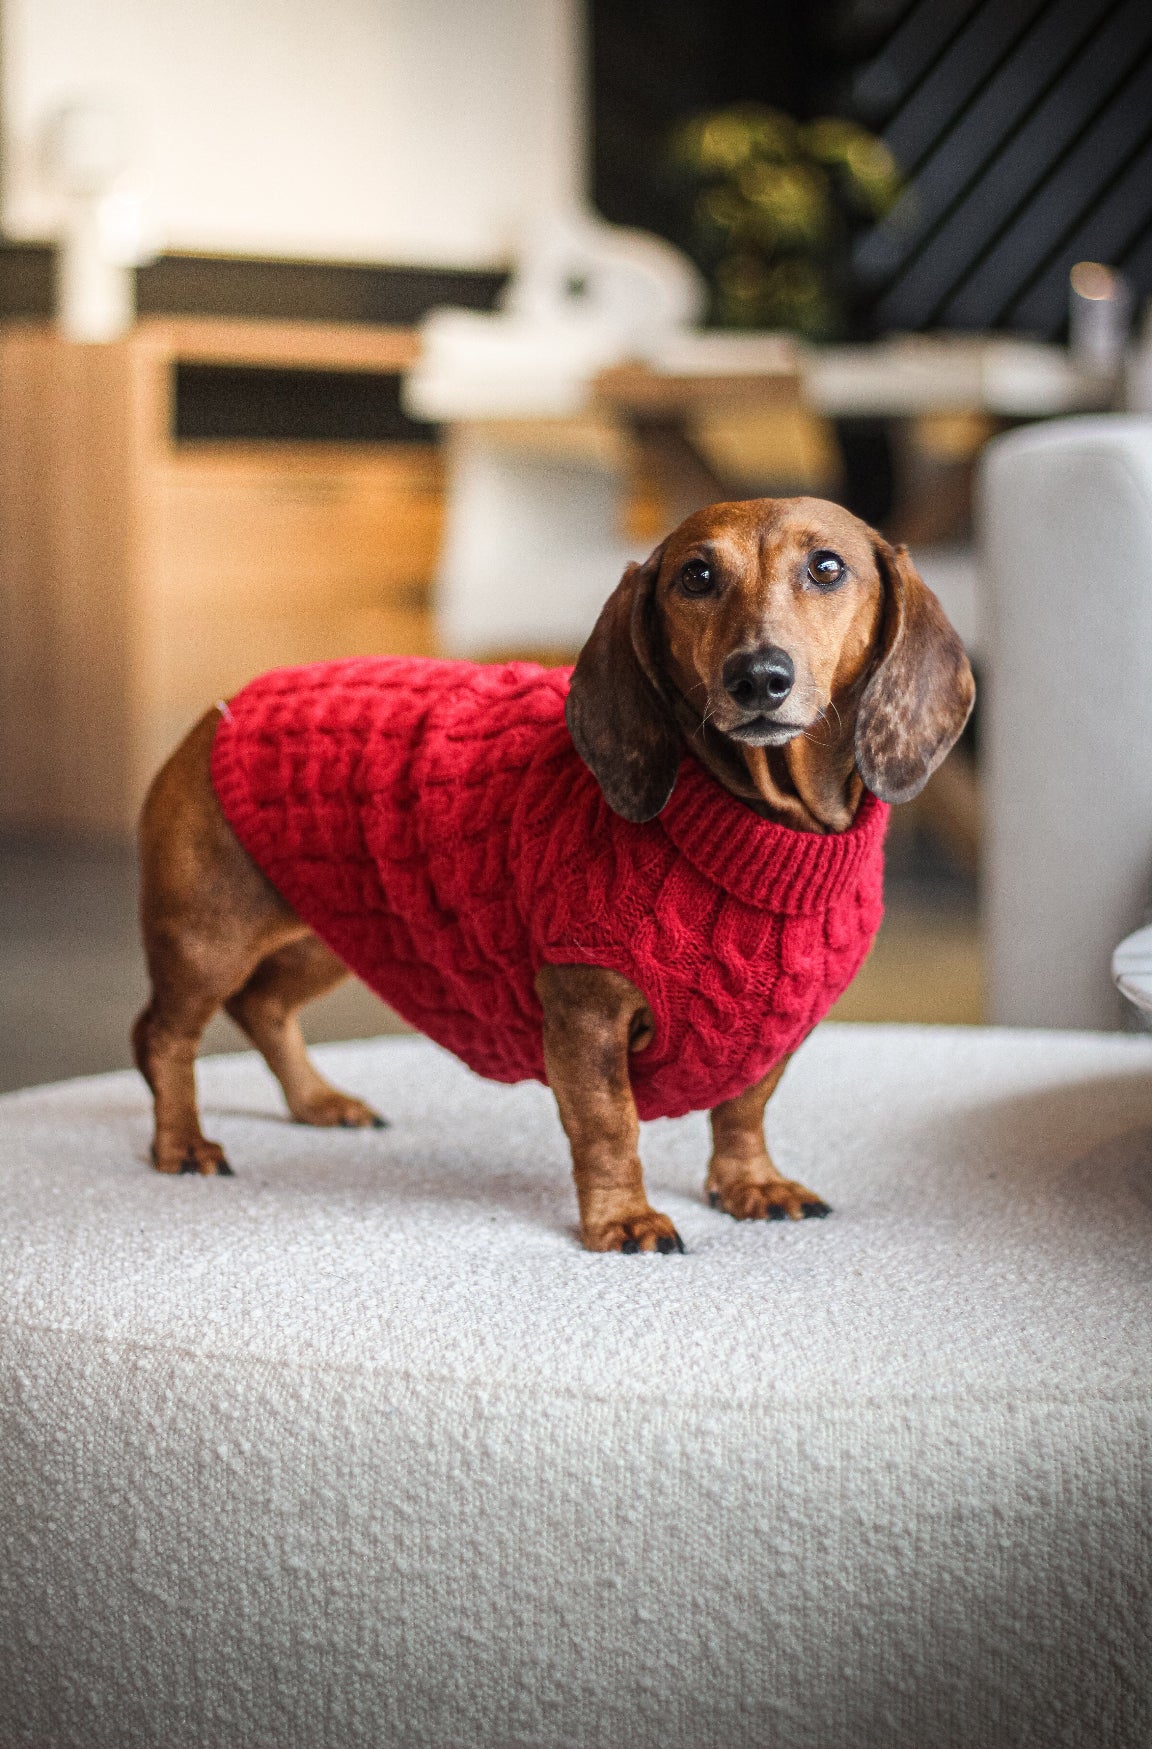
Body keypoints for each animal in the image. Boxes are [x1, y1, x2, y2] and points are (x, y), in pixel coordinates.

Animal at [132, 500, 971, 1252]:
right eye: (696, 575)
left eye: (827, 567)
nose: (757, 678)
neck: (755, 826)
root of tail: (222, 709)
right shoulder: (584, 1011)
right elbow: (608, 1126)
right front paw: (623, 1220)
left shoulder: (772, 1033)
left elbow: (744, 1110)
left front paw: (751, 1184)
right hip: (209, 938)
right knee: (163, 1036)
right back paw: (183, 1144)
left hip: (337, 926)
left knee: (264, 1008)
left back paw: (318, 1102)